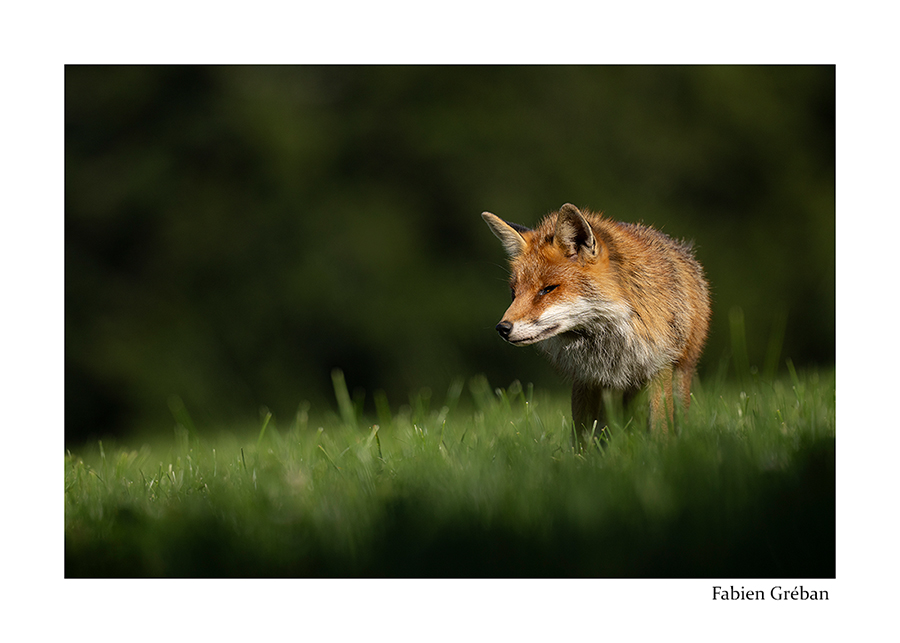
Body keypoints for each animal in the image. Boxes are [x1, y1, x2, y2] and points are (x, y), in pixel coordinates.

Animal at [482, 203, 710, 449]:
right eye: (514, 293)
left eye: (547, 289)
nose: (503, 328)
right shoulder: (586, 377)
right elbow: (581, 436)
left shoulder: (659, 366)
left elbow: (660, 429)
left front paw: (660, 450)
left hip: (680, 373)